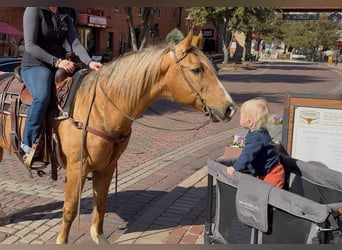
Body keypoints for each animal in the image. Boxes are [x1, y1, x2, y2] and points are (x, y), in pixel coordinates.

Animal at [0, 30, 235, 243]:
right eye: (196, 69)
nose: (230, 108)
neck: (101, 107)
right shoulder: (77, 167)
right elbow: (69, 210)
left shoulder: (107, 166)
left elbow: (101, 205)